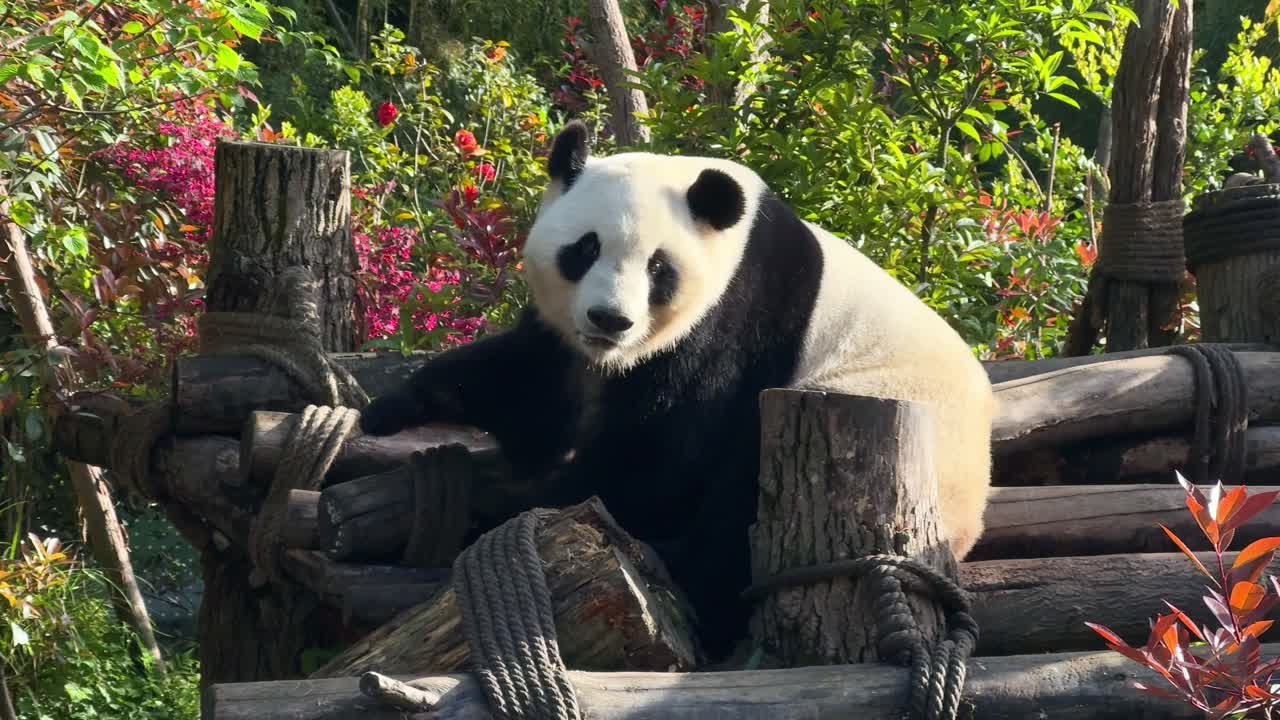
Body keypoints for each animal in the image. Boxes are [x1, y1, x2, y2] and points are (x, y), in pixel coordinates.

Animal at [360, 121, 995, 660]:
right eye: (585, 248)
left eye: (658, 268)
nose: (610, 319)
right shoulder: (566, 338)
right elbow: (532, 384)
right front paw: (388, 409)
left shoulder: (728, 321)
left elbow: (660, 454)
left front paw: (522, 503)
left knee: (736, 508)